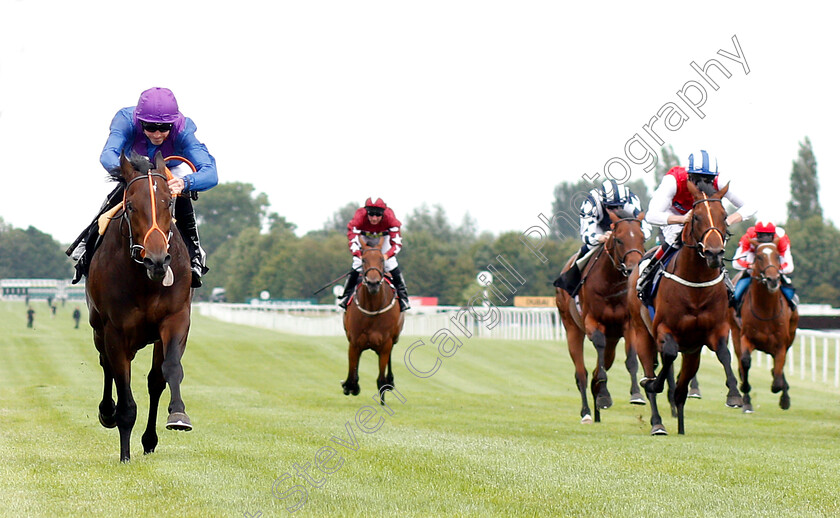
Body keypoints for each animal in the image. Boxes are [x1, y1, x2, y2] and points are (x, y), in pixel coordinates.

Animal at [88, 151, 194, 464]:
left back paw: (149, 440)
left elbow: (169, 370)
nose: (157, 260)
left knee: (155, 380)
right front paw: (124, 453)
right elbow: (124, 392)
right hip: (98, 328)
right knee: (106, 364)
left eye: (168, 202)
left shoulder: (176, 318)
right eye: (132, 205)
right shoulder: (115, 331)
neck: (146, 281)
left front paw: (178, 415)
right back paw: (107, 412)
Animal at [342, 239, 406, 406]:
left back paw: (390, 381)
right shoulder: (354, 342)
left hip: (394, 338)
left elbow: (381, 378)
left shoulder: (385, 343)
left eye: (382, 260)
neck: (372, 307)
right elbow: (352, 370)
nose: (373, 283)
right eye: (364, 260)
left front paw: (384, 396)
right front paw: (351, 386)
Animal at [556, 209, 648, 424]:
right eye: (619, 239)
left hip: (613, 340)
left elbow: (631, 360)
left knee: (598, 369)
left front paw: (636, 394)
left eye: (642, 238)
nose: (632, 269)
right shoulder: (592, 322)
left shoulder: (628, 324)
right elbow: (598, 345)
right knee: (581, 373)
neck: (611, 286)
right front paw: (604, 396)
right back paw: (587, 412)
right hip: (572, 328)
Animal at [624, 181, 740, 436]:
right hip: (641, 333)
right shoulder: (664, 330)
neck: (695, 286)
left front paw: (734, 395)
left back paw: (681, 426)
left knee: (682, 387)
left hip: (692, 352)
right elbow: (667, 357)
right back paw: (657, 422)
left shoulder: (714, 331)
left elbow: (724, 354)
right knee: (651, 370)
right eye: (696, 216)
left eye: (724, 215)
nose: (714, 253)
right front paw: (653, 384)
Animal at [728, 240, 800, 414]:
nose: (773, 279)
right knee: (741, 364)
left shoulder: (781, 343)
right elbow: (745, 362)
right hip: (734, 333)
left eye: (777, 255)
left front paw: (783, 396)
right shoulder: (746, 337)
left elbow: (778, 374)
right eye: (759, 256)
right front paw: (745, 389)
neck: (766, 309)